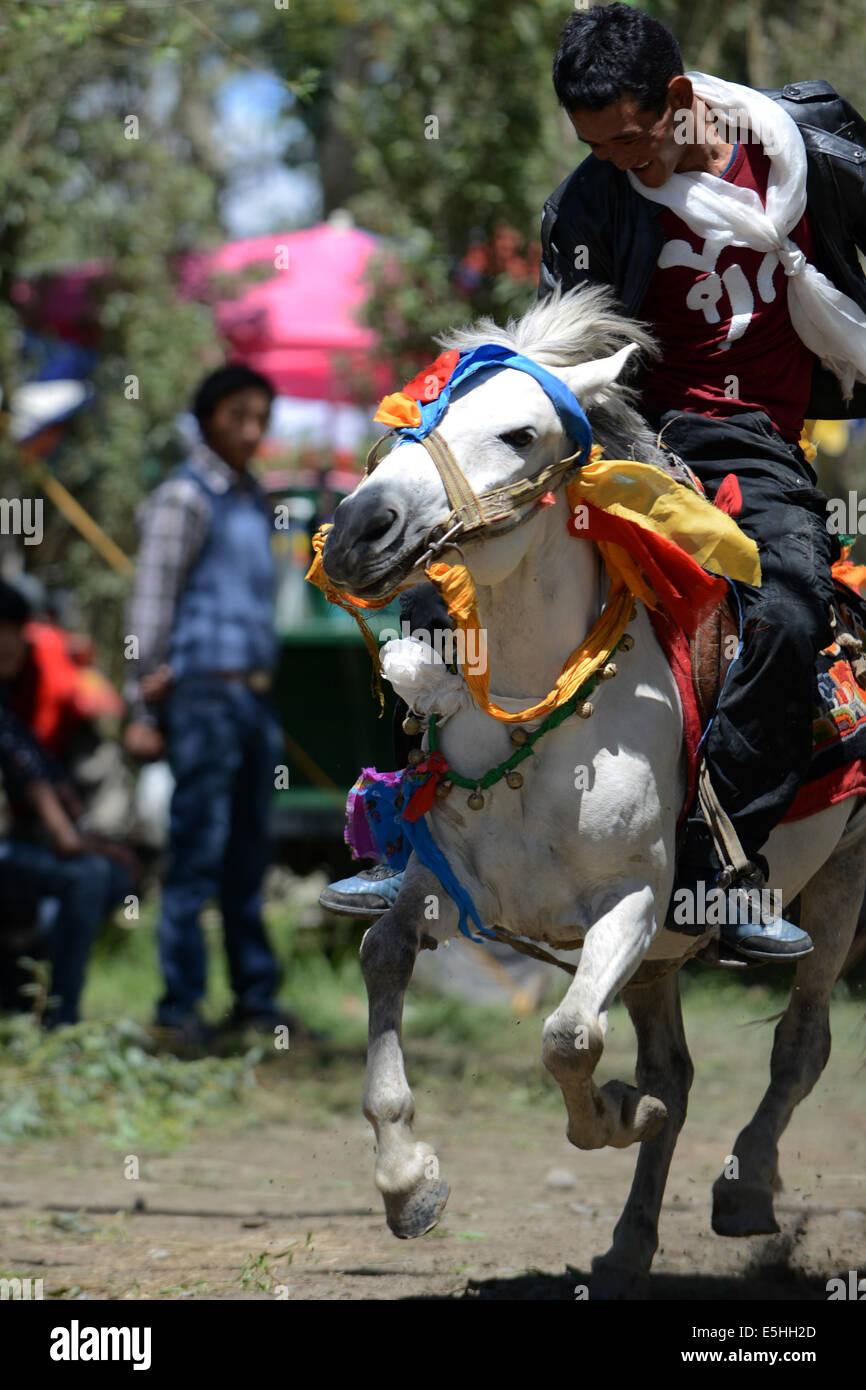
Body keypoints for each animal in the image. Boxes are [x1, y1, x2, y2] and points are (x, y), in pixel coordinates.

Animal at [318, 287, 866, 1295]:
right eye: (413, 419)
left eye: (520, 432)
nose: (359, 530)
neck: (538, 712)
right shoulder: (446, 881)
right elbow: (382, 955)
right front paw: (408, 1182)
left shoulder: (635, 902)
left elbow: (569, 1040)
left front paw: (617, 1114)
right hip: (663, 959)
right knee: (679, 1070)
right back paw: (627, 1247)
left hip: (841, 875)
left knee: (801, 1042)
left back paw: (745, 1190)